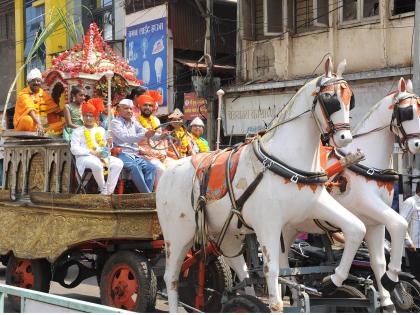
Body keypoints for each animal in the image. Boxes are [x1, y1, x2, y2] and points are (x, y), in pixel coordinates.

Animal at [156, 58, 366, 312]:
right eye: (330, 98)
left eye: (350, 99)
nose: (345, 139)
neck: (287, 158)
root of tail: (169, 169)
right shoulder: (268, 223)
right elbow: (272, 272)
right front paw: (277, 302)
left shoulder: (314, 207)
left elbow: (357, 228)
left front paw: (333, 279)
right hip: (177, 234)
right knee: (171, 276)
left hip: (228, 232)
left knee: (241, 270)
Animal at [280, 78, 420, 312]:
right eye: (407, 112)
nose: (417, 144)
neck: (367, 164)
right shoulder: (366, 206)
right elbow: (399, 224)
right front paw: (390, 279)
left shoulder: (375, 222)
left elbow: (378, 261)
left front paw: (387, 299)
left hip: (291, 228)